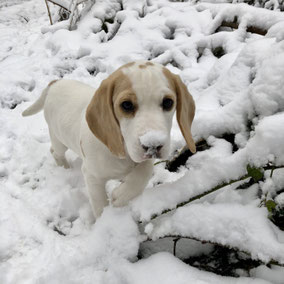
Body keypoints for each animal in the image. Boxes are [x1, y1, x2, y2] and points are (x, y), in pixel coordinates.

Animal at [22, 61, 195, 219]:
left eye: (168, 102)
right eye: (126, 105)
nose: (153, 145)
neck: (123, 150)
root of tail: (55, 83)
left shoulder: (141, 159)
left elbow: (143, 172)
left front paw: (121, 195)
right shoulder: (92, 176)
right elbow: (99, 204)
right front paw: (105, 222)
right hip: (59, 138)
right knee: (55, 152)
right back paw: (65, 168)